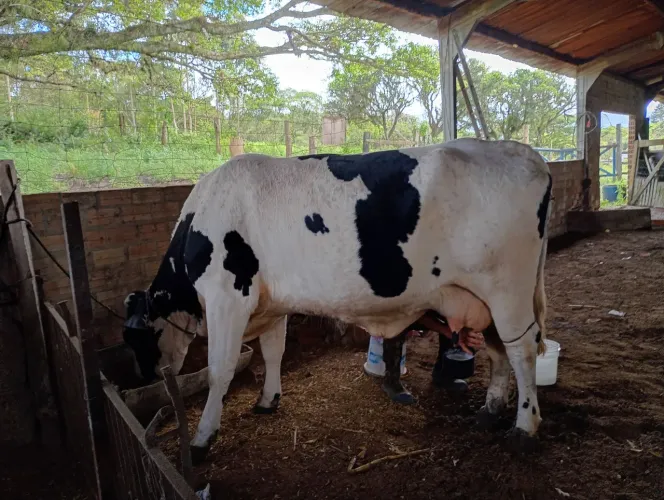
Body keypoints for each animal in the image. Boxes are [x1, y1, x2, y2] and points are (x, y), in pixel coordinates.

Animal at [122, 138, 552, 463]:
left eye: (134, 338)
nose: (141, 377)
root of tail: (525, 153)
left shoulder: (227, 296)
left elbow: (219, 370)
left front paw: (202, 438)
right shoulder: (272, 305)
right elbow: (273, 352)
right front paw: (268, 399)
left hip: (507, 291)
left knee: (521, 349)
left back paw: (525, 427)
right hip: (485, 300)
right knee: (498, 350)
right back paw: (491, 409)